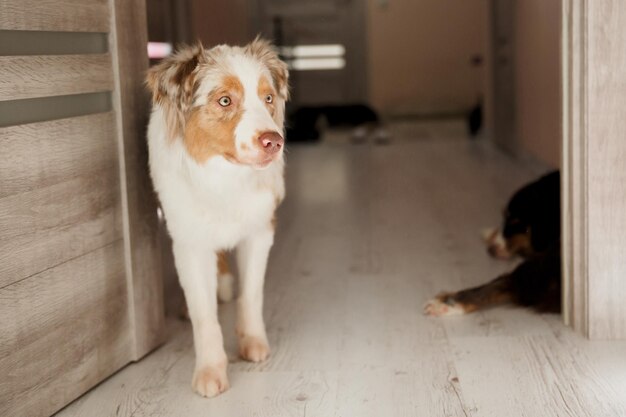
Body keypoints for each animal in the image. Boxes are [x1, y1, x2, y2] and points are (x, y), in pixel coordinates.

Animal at [147, 39, 290, 396]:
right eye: (225, 100)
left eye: (268, 98)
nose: (274, 142)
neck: (225, 176)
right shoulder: (189, 240)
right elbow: (204, 315)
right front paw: (210, 372)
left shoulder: (259, 230)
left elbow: (251, 294)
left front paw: (253, 344)